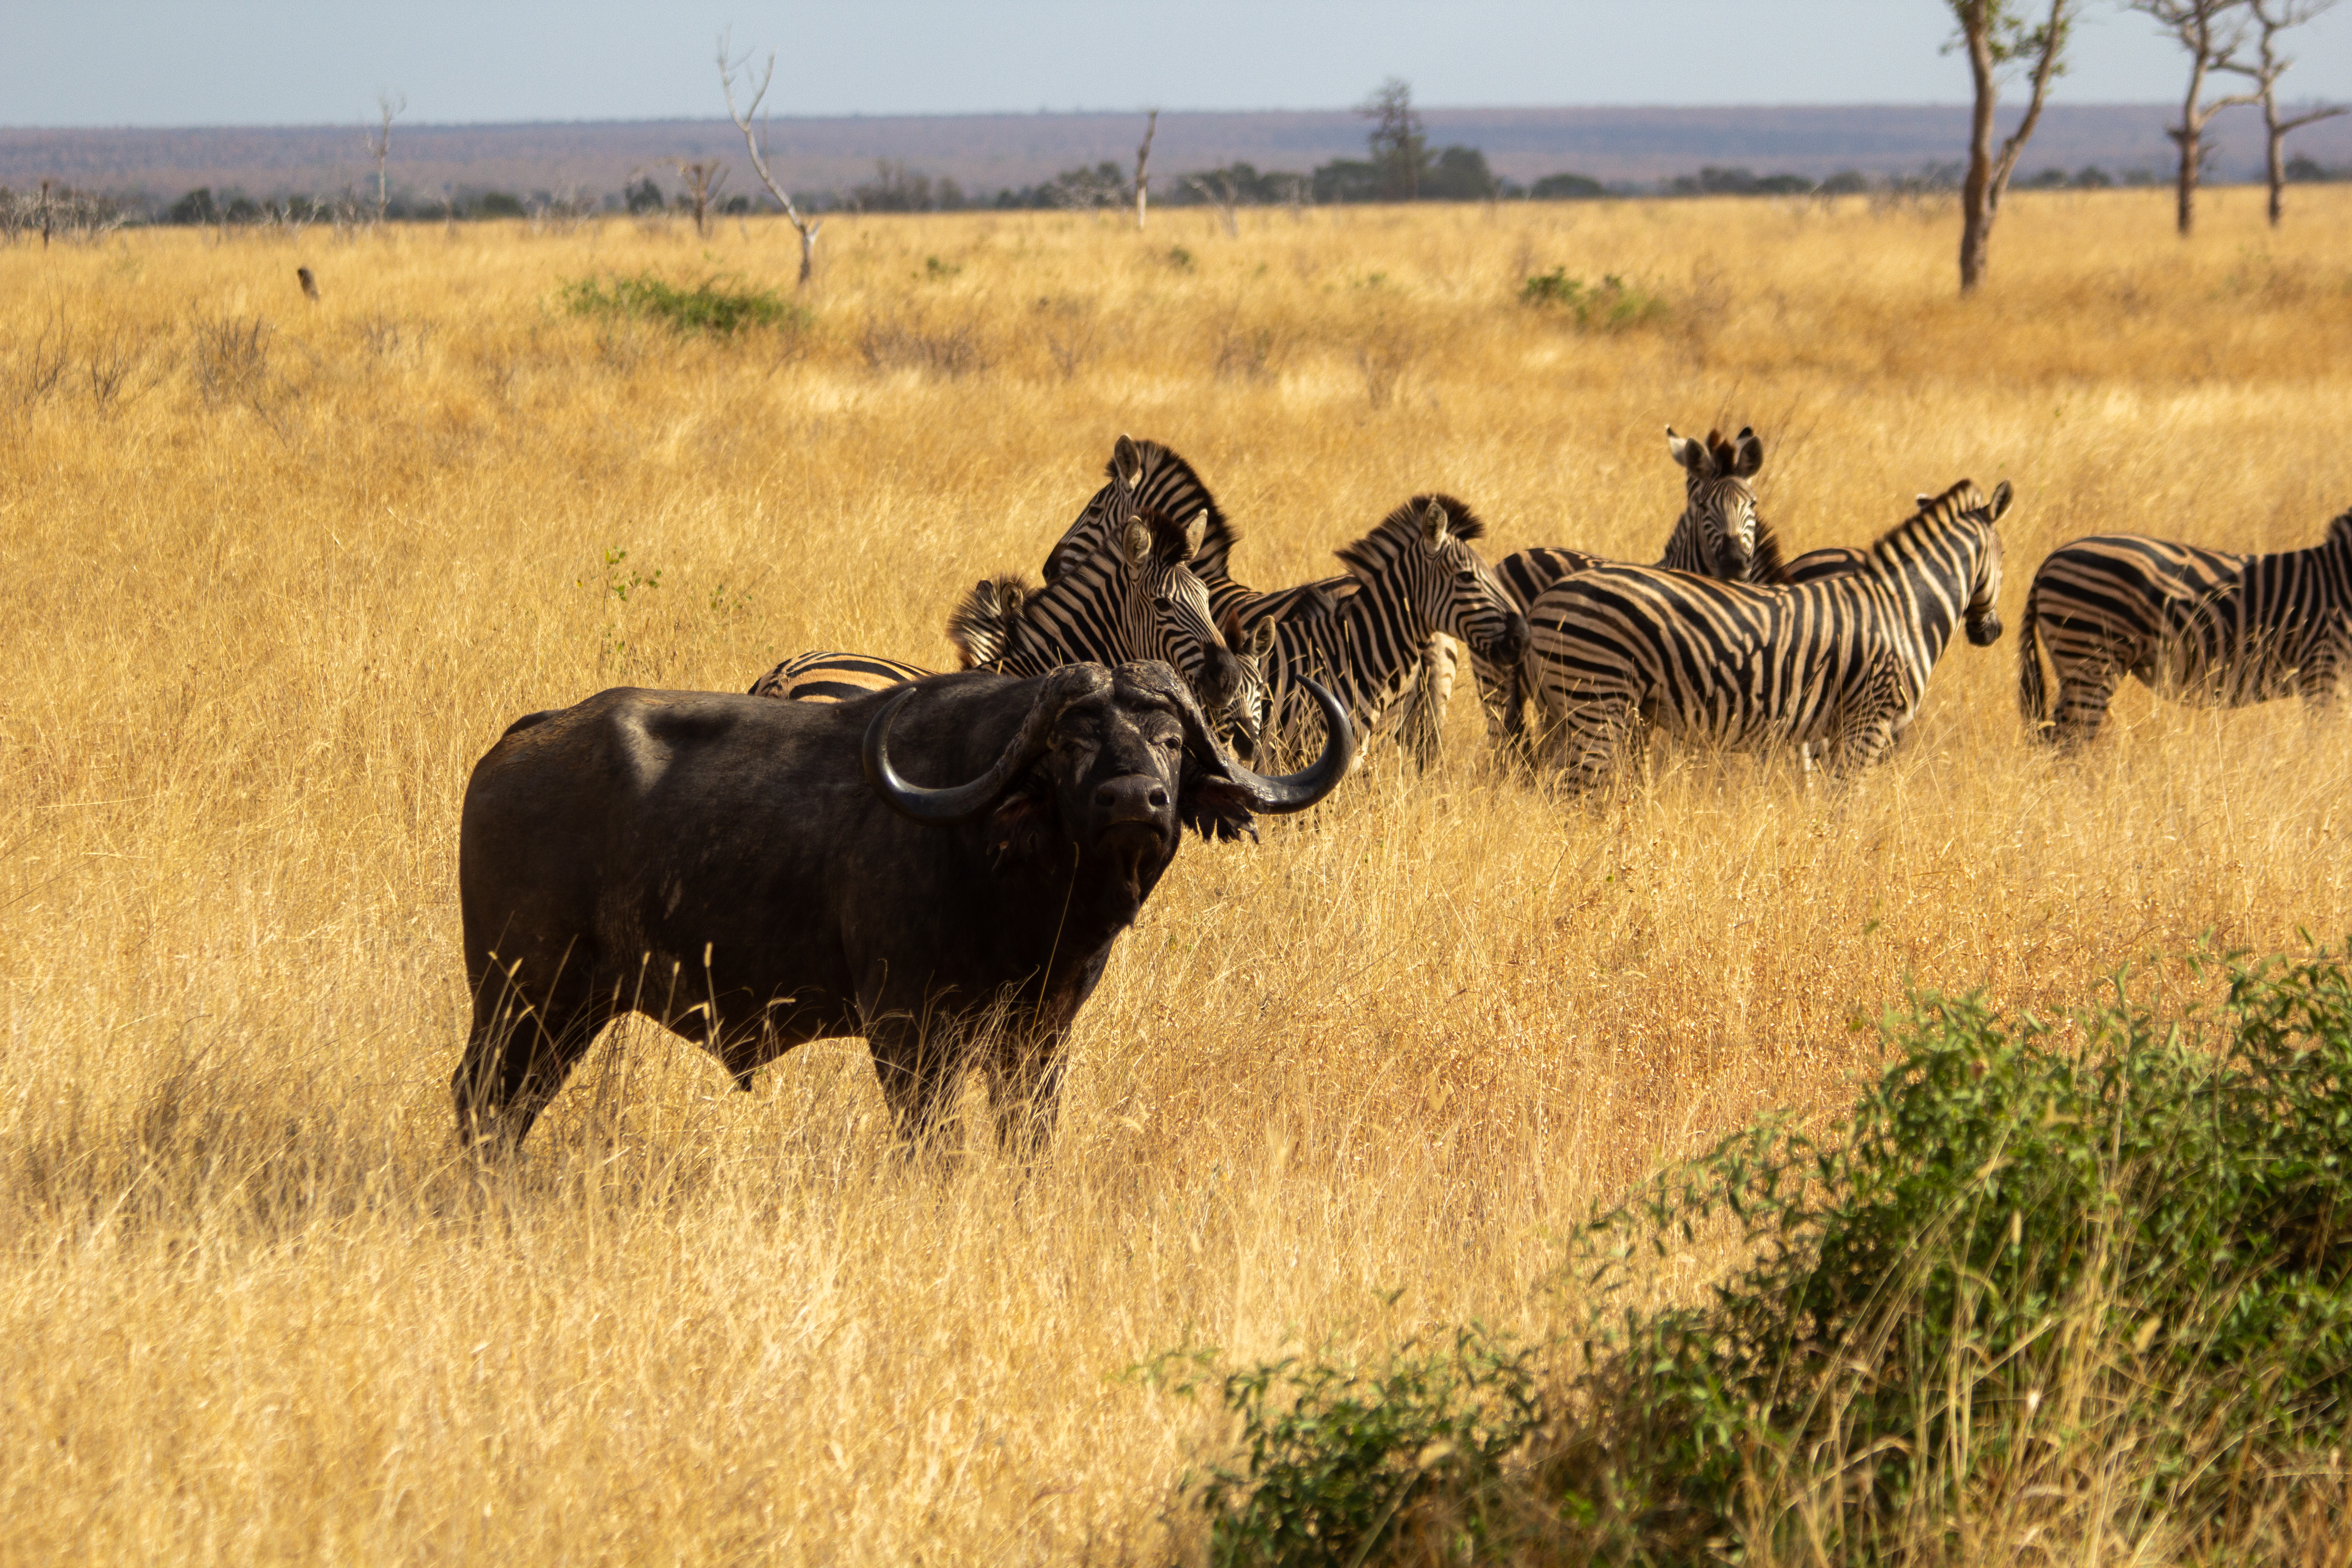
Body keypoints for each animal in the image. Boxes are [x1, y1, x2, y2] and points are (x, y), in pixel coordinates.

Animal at [454, 660, 1351, 1150]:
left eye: (1169, 740)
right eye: (1069, 741)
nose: (1136, 799)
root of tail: (518, 744)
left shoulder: (1040, 1033)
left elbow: (1026, 1139)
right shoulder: (907, 1032)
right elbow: (935, 1145)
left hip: (568, 1010)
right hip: (521, 994)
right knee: (480, 1099)